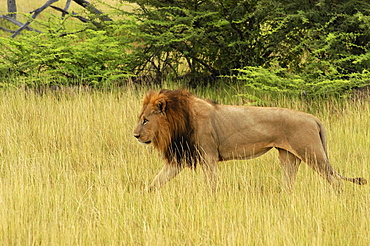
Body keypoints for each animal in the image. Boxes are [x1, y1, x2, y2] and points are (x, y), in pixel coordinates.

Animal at [133, 89, 368, 191]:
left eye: (145, 120)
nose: (135, 135)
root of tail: (314, 118)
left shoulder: (208, 156)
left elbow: (211, 184)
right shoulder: (180, 158)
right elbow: (156, 181)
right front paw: (143, 197)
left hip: (312, 154)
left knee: (335, 181)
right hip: (289, 157)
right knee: (289, 182)